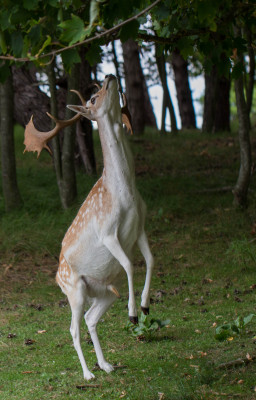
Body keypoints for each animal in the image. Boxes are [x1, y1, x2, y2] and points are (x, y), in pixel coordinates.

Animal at [23, 74, 154, 378]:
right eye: (93, 99)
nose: (109, 76)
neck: (126, 194)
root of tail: (56, 278)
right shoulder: (107, 232)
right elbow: (129, 264)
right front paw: (133, 313)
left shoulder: (140, 227)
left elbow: (151, 260)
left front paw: (144, 306)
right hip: (75, 290)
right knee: (73, 327)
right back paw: (88, 373)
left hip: (104, 293)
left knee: (90, 318)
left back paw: (106, 364)